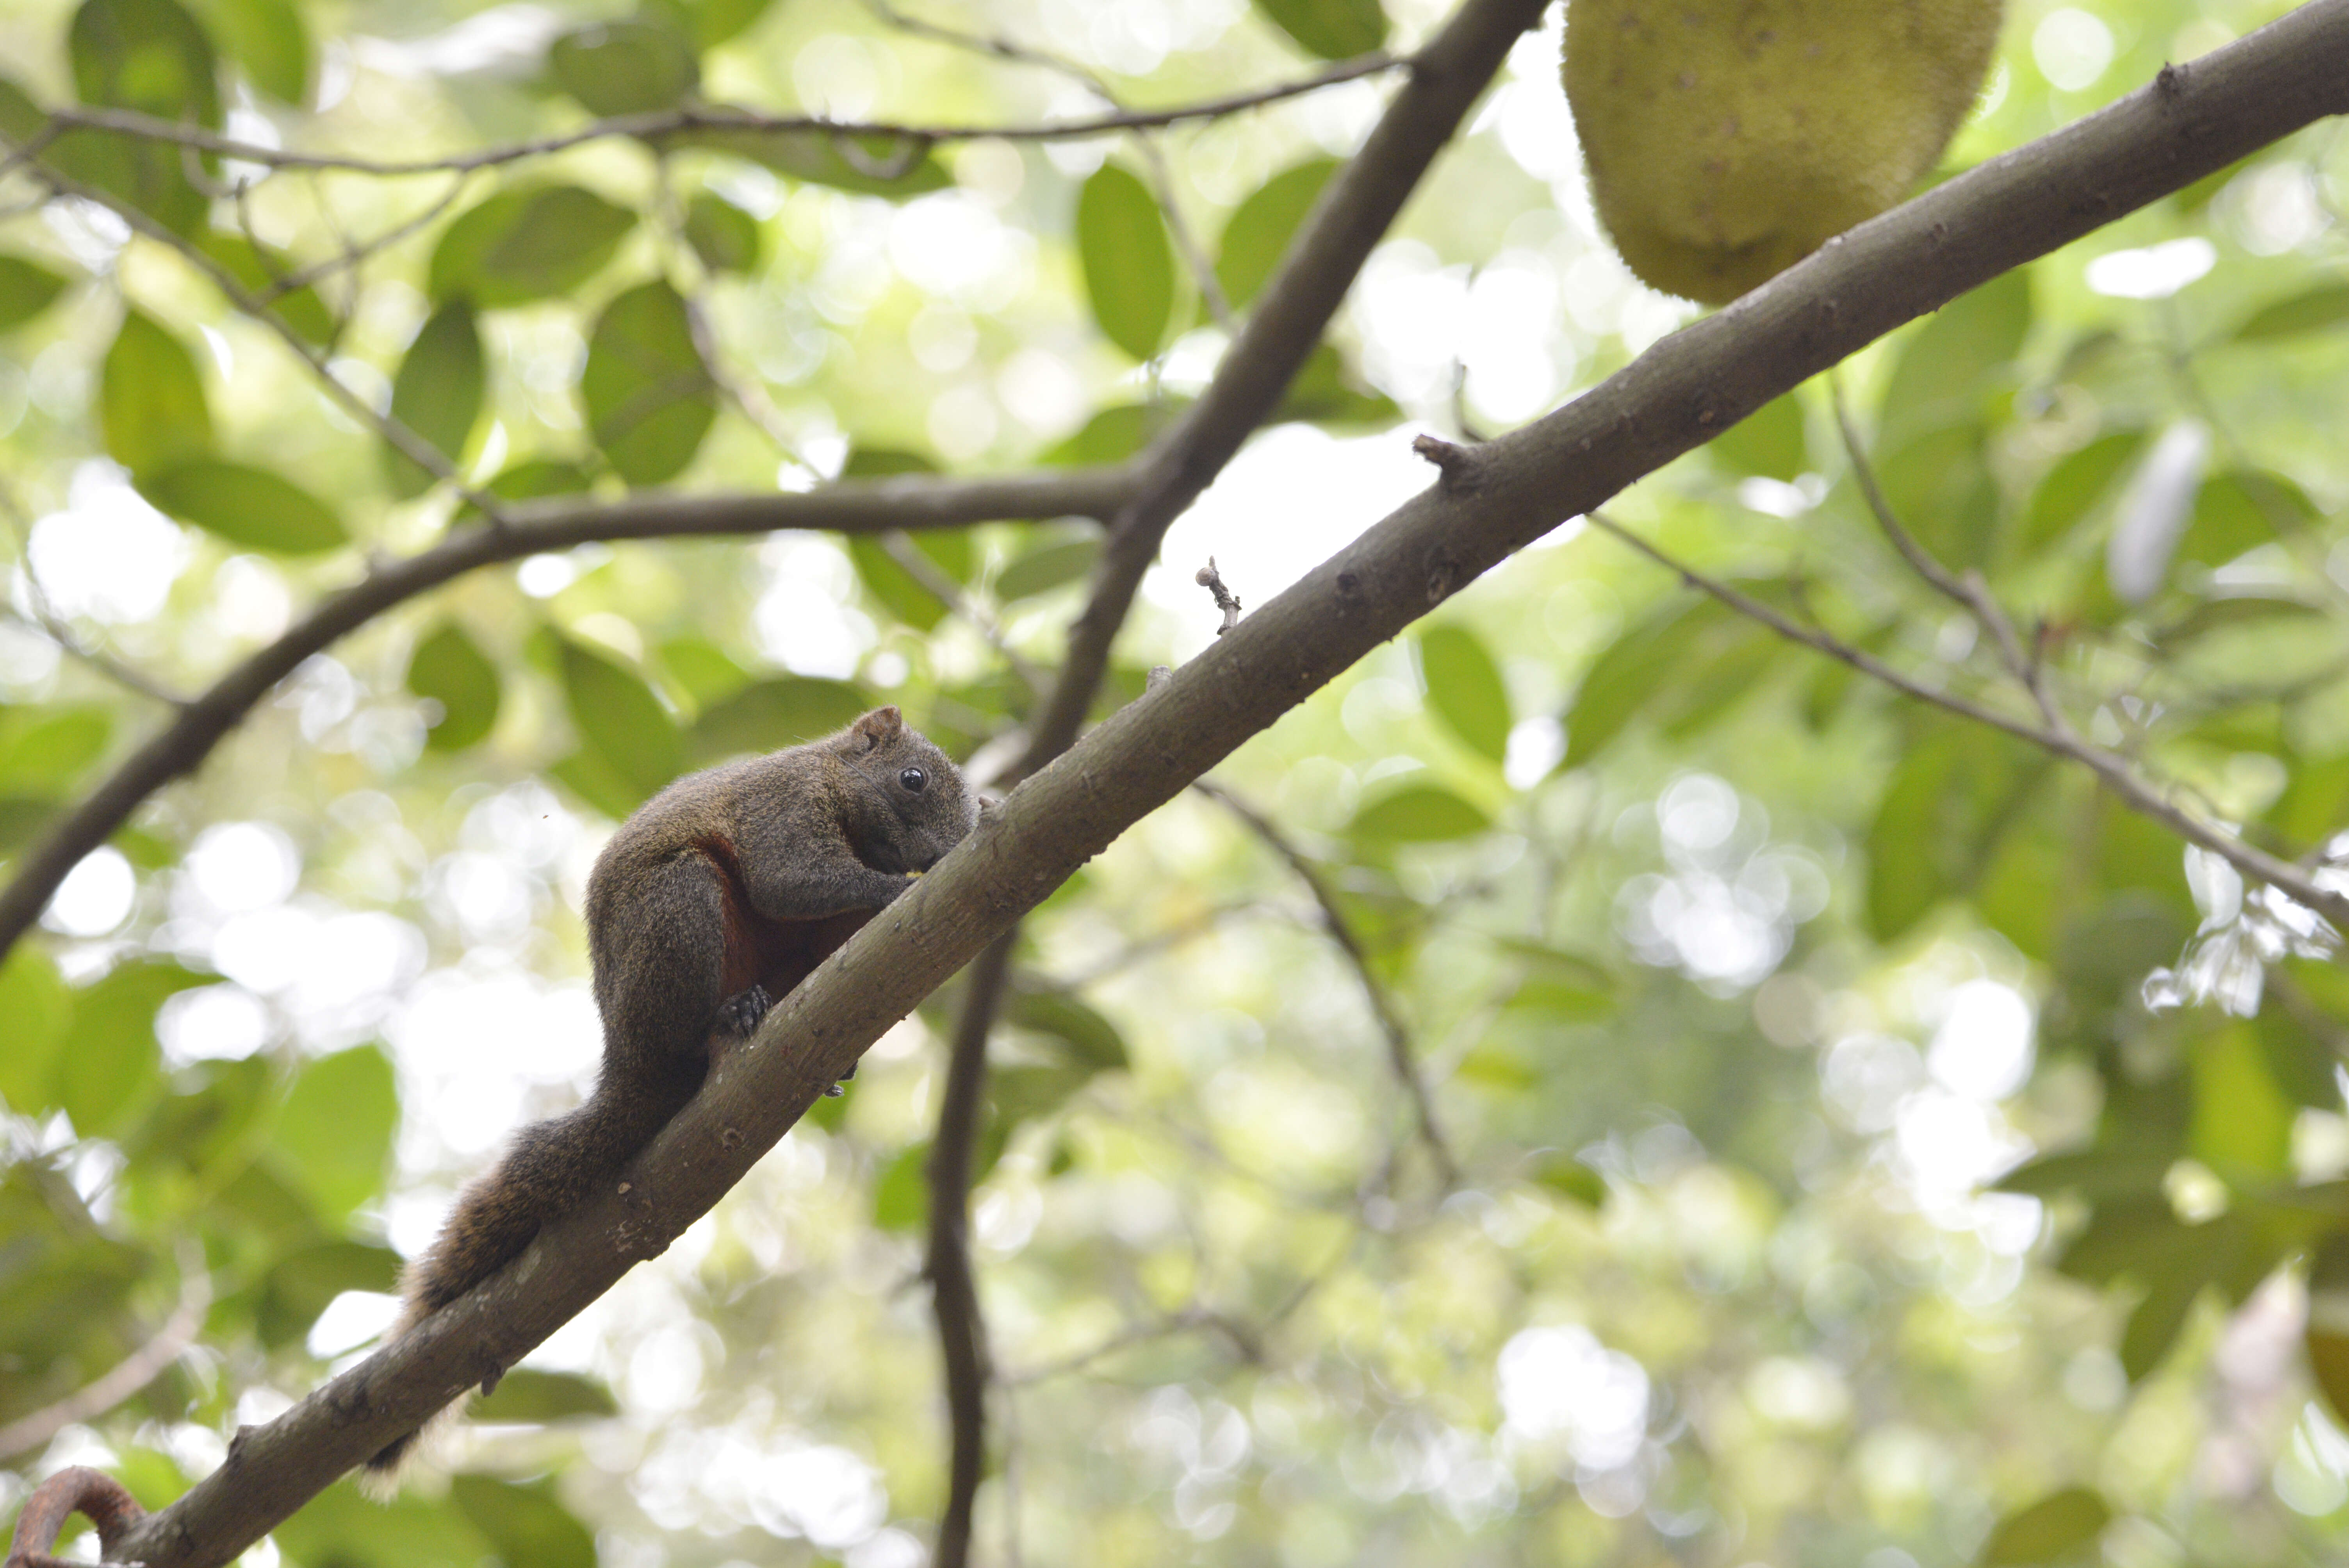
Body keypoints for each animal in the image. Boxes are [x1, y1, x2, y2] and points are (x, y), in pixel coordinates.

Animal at [355, 704, 972, 1493]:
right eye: (913, 779)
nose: (941, 854)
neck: (837, 780)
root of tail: (629, 1063)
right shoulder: (782, 806)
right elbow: (790, 878)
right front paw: (894, 888)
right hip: (677, 911)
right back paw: (728, 1018)